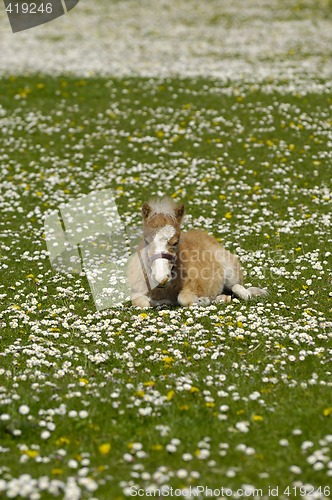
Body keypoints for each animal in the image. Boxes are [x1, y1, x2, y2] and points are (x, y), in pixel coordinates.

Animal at [127, 197, 268, 306]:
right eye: (146, 241)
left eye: (176, 242)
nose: (161, 278)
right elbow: (143, 302)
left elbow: (183, 299)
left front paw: (203, 300)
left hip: (231, 271)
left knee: (239, 288)